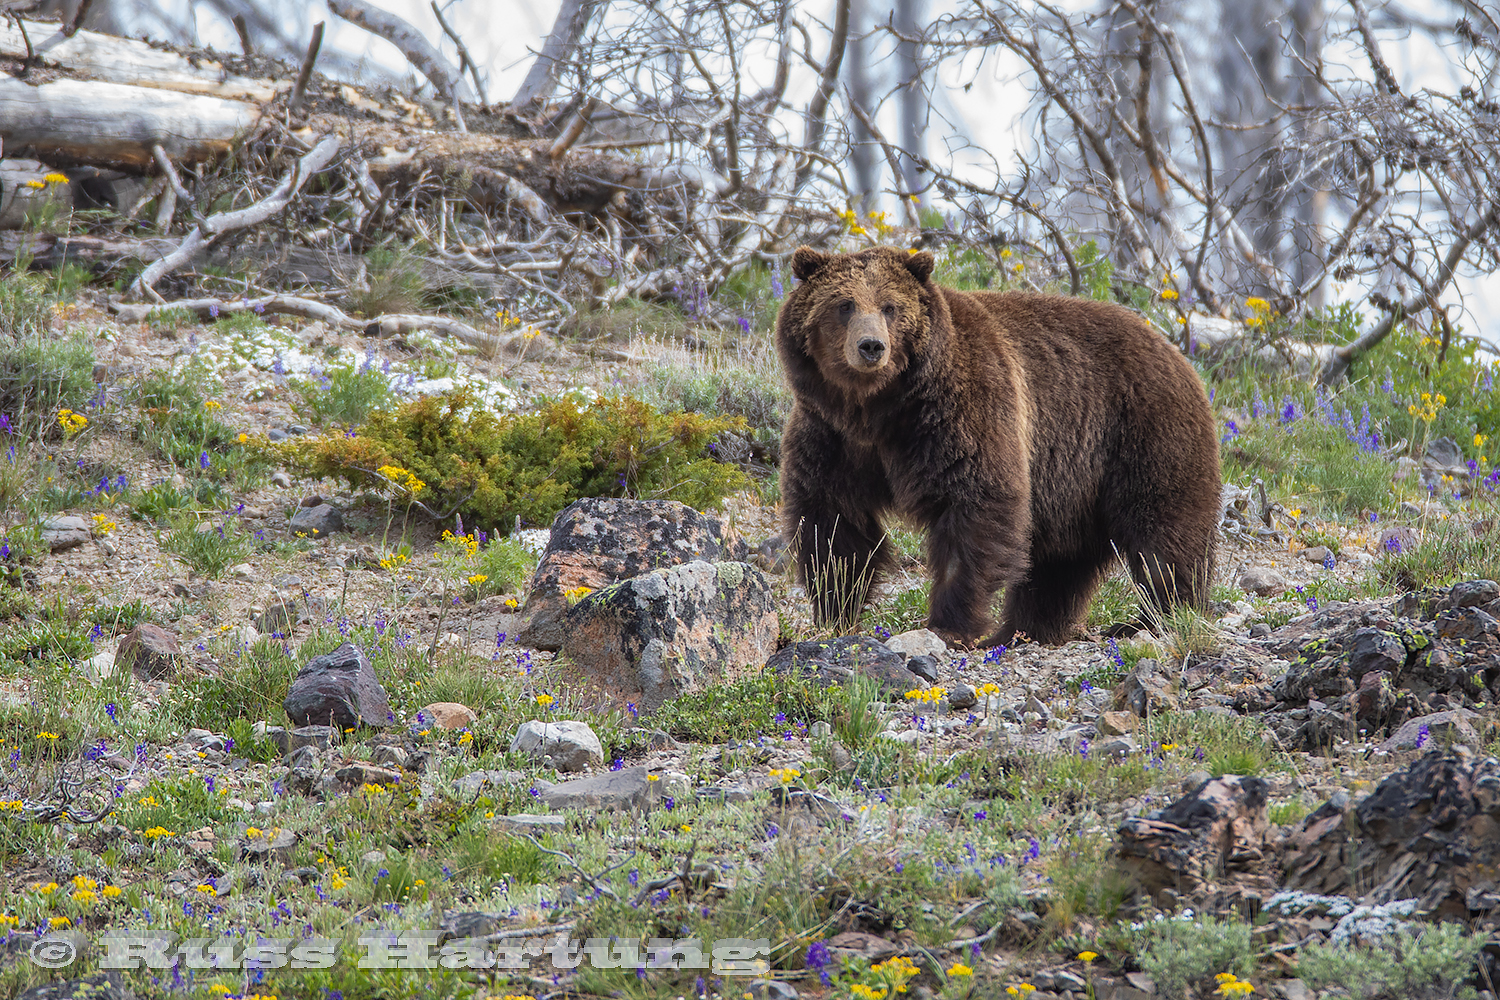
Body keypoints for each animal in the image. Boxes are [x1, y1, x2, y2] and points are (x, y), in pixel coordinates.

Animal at [780, 245, 1224, 644]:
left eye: (890, 306)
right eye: (844, 304)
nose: (871, 346)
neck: (879, 408)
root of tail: (1175, 351)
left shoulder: (956, 418)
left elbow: (976, 505)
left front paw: (949, 624)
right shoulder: (834, 438)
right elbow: (833, 522)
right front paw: (835, 610)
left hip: (1141, 433)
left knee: (1162, 530)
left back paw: (1155, 617)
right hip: (1072, 484)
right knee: (1058, 562)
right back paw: (1025, 630)